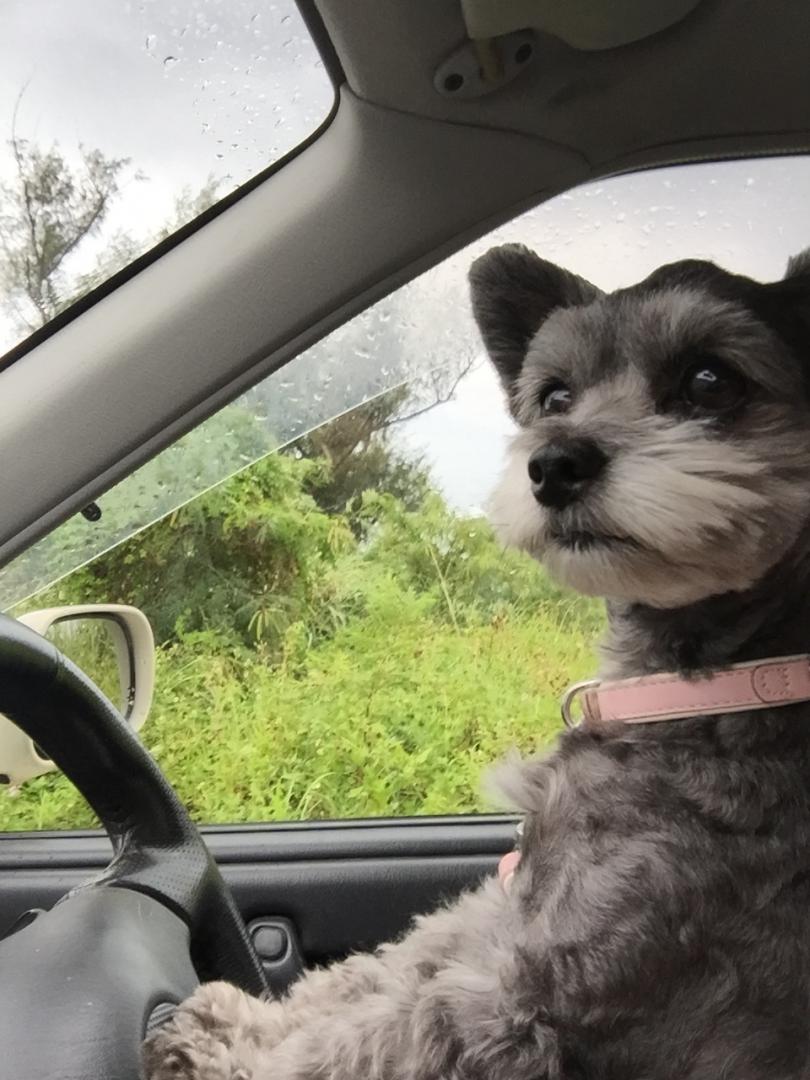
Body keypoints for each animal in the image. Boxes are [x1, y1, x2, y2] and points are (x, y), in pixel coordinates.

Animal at [144, 247, 810, 1080]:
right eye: (554, 396)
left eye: (710, 381)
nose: (554, 463)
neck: (701, 696)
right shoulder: (507, 911)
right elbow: (387, 968)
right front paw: (242, 1022)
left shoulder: (535, 994)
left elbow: (369, 1041)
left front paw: (231, 1052)